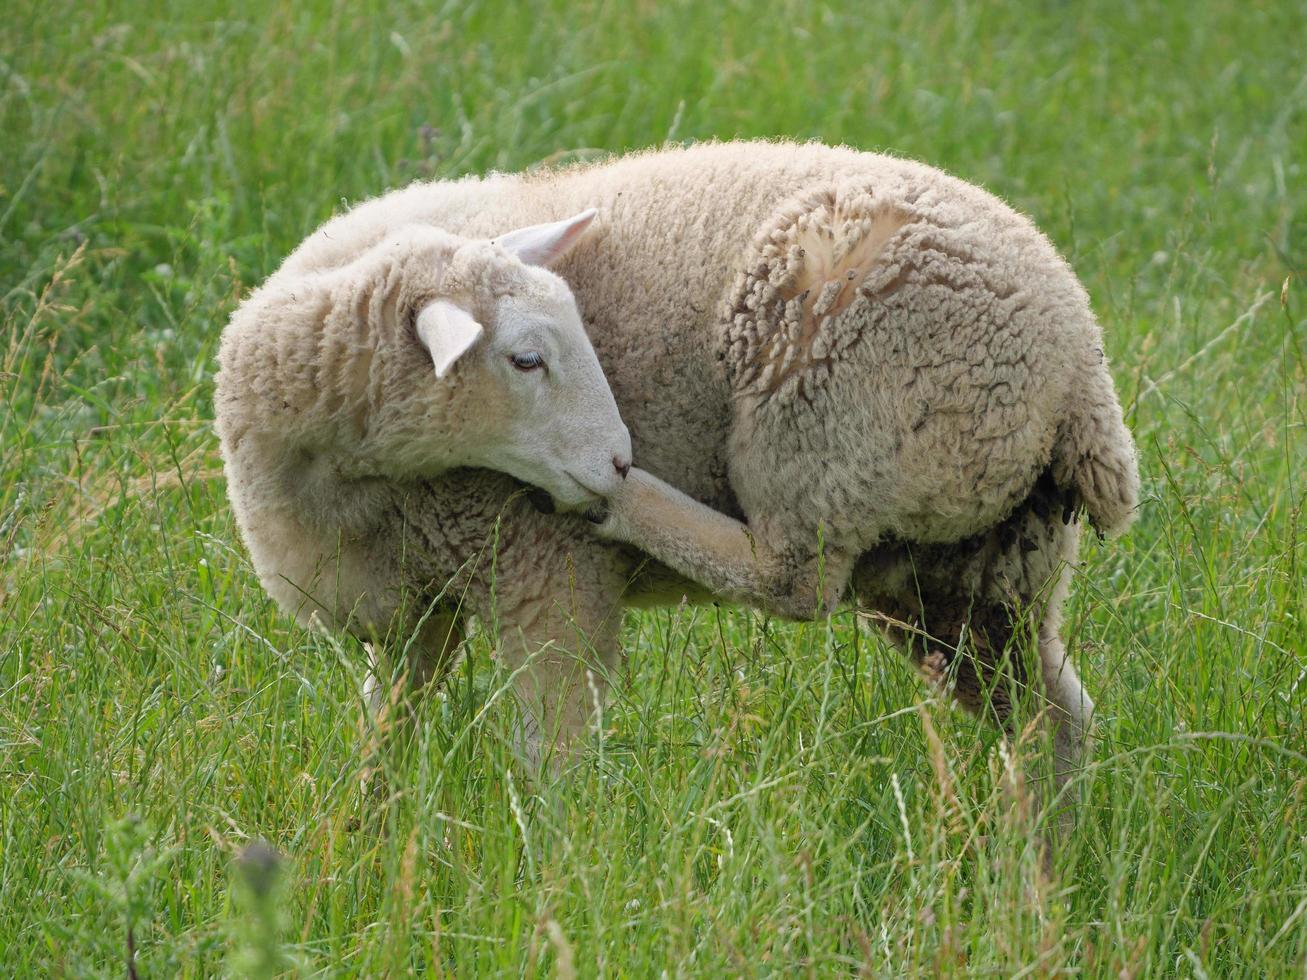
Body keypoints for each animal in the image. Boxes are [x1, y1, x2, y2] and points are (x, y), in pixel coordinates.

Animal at [219, 141, 1139, 804]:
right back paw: (1039, 879)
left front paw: (555, 874)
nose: (617, 453)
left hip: (823, 419)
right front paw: (355, 840)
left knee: (790, 580)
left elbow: (553, 755)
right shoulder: (415, 611)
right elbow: (388, 731)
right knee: (1050, 720)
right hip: (971, 569)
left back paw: (631, 504)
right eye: (526, 359)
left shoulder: (542, 574)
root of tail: (1077, 379)